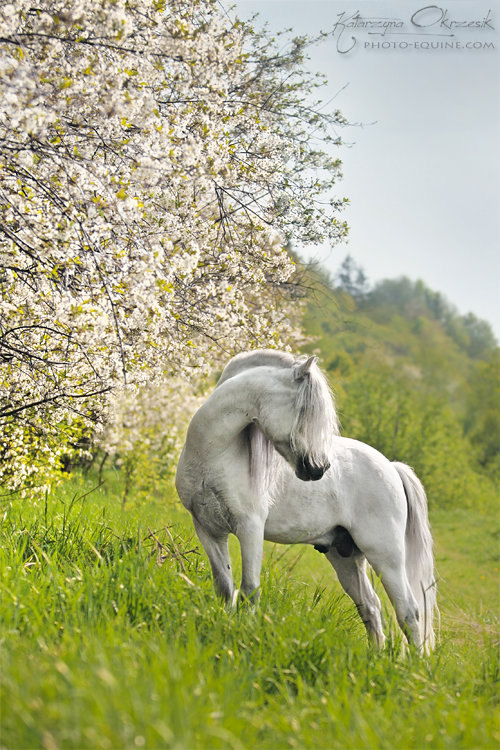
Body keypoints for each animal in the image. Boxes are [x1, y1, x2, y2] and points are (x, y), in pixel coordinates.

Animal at [177, 352, 438, 652]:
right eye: (304, 410)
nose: (318, 469)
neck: (213, 453)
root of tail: (392, 468)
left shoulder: (249, 529)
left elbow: (249, 589)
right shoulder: (208, 529)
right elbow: (224, 586)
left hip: (386, 557)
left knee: (409, 612)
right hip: (345, 556)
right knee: (371, 608)